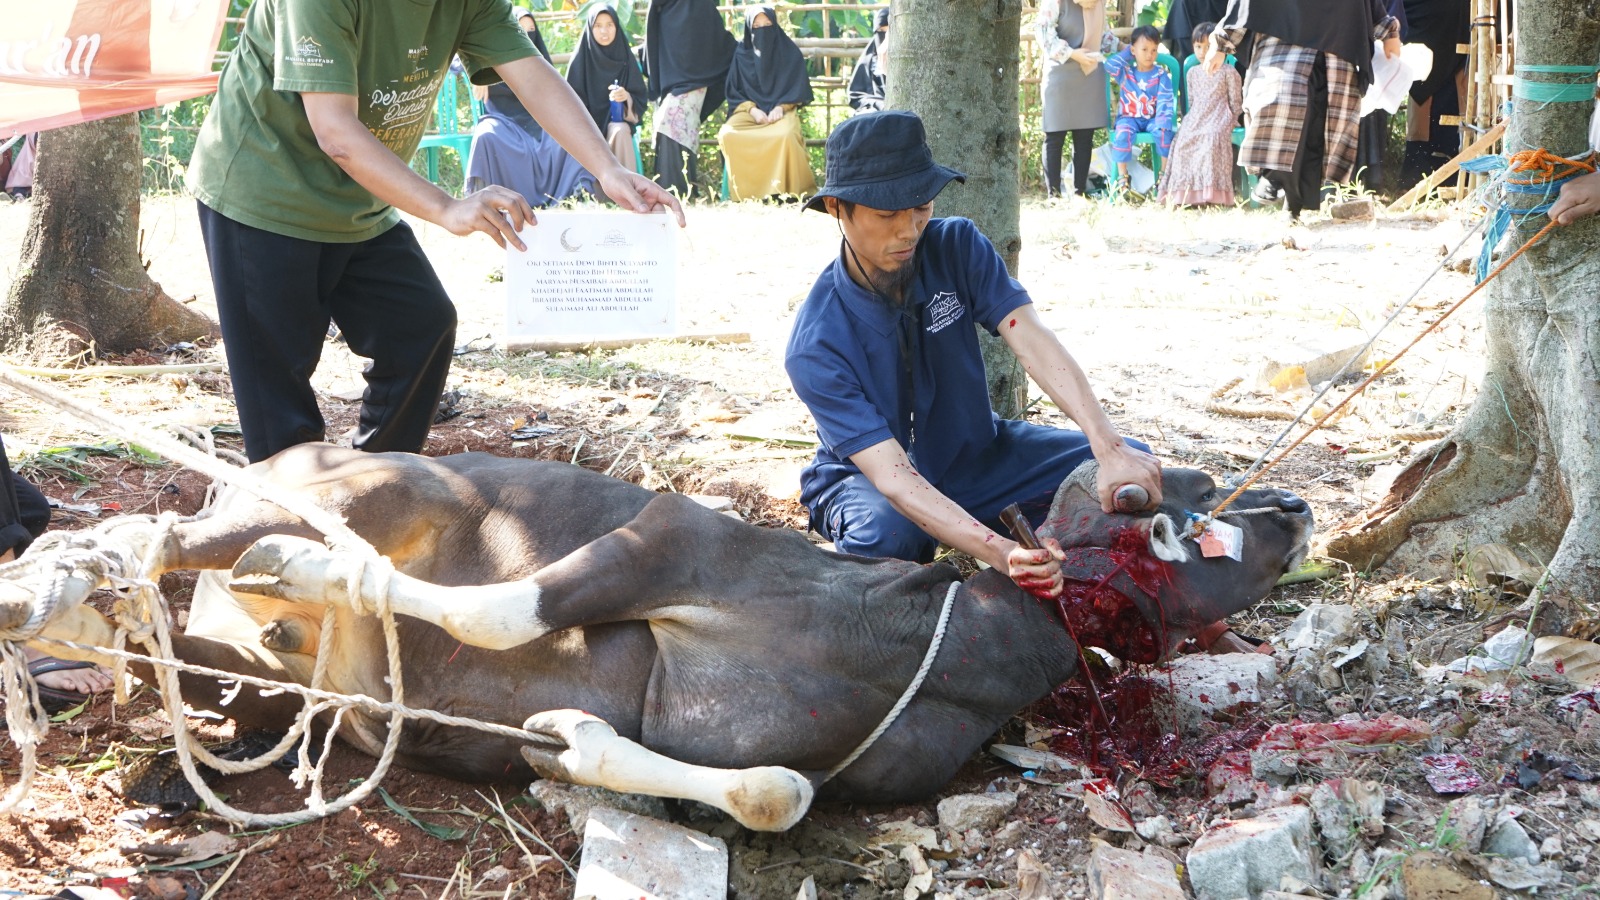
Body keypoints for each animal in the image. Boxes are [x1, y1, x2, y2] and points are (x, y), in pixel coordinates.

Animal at [6, 445, 1312, 832]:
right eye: (1179, 497)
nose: (1294, 506)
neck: (931, 645)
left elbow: (775, 790)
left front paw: (565, 740)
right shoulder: (671, 544)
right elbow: (503, 607)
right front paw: (324, 571)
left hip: (276, 680)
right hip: (379, 479)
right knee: (167, 533)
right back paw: (72, 581)